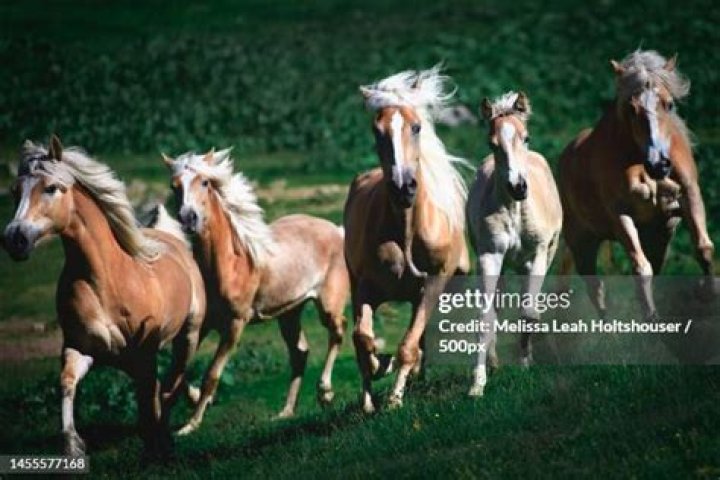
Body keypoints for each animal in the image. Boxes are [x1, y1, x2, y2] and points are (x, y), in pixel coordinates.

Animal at [2, 136, 206, 458]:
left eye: (51, 188)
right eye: (14, 191)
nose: (15, 238)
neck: (106, 281)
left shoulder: (143, 353)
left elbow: (152, 397)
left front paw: (157, 446)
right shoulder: (80, 347)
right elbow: (66, 382)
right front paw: (73, 445)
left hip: (189, 334)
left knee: (172, 380)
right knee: (167, 383)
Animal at [161, 148, 348, 434]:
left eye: (205, 182)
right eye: (174, 186)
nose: (188, 218)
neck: (231, 264)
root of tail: (336, 230)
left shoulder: (234, 325)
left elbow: (211, 375)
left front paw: (190, 425)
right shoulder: (200, 325)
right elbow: (177, 371)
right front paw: (192, 399)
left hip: (328, 305)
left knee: (337, 332)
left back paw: (325, 393)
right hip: (289, 313)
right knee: (300, 352)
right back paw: (285, 412)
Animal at [345, 66, 470, 413]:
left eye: (416, 127)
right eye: (377, 132)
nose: (404, 187)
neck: (407, 234)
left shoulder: (434, 281)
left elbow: (408, 345)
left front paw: (394, 400)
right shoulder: (366, 287)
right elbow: (362, 340)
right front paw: (379, 374)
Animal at [466, 92, 562, 396]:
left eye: (526, 137)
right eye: (492, 143)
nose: (518, 187)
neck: (515, 211)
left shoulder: (538, 255)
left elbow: (529, 311)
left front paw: (526, 364)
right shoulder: (490, 256)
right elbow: (486, 317)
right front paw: (478, 384)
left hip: (542, 256)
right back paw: (494, 363)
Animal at [558, 50, 714, 319]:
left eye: (669, 104)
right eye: (631, 109)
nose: (659, 163)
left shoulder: (689, 196)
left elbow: (703, 247)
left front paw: (708, 293)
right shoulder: (620, 214)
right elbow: (641, 268)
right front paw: (651, 318)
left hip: (656, 235)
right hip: (582, 241)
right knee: (595, 288)